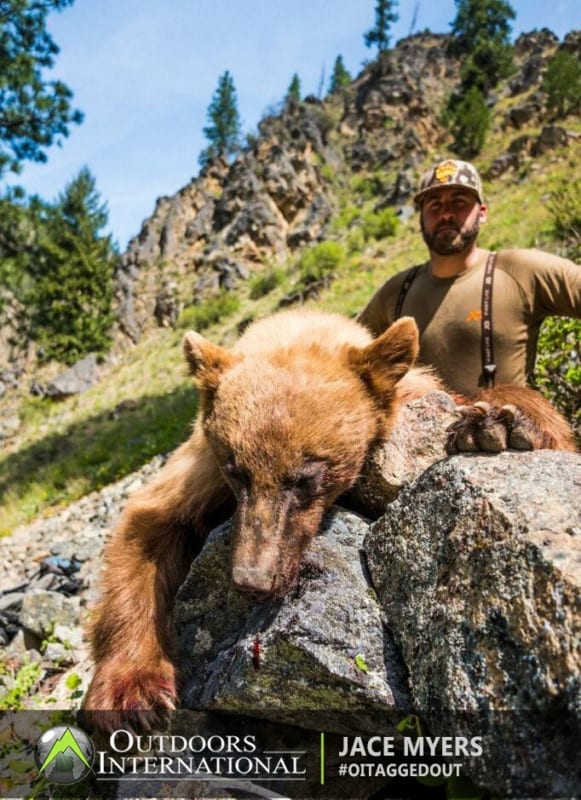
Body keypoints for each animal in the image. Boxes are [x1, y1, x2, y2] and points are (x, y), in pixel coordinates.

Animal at [83, 309, 575, 729]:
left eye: (306, 477)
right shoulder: (200, 472)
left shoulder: (411, 396)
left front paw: (494, 425)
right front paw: (133, 694)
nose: (252, 579)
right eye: (235, 470)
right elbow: (149, 524)